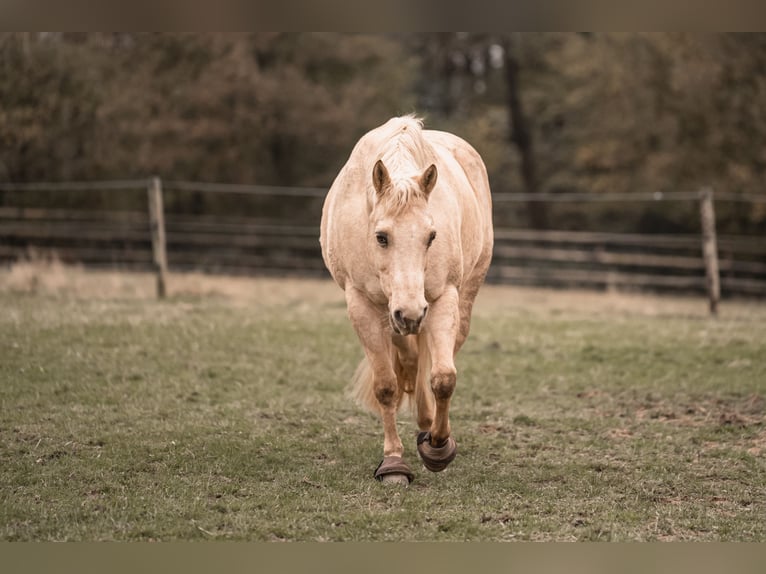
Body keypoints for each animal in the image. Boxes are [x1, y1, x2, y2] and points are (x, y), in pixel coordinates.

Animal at [320, 115, 493, 484]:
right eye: (381, 237)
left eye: (431, 236)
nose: (411, 313)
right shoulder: (361, 304)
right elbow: (387, 386)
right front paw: (393, 463)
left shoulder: (442, 298)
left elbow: (443, 378)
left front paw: (438, 448)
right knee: (410, 361)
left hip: (458, 302)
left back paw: (428, 429)